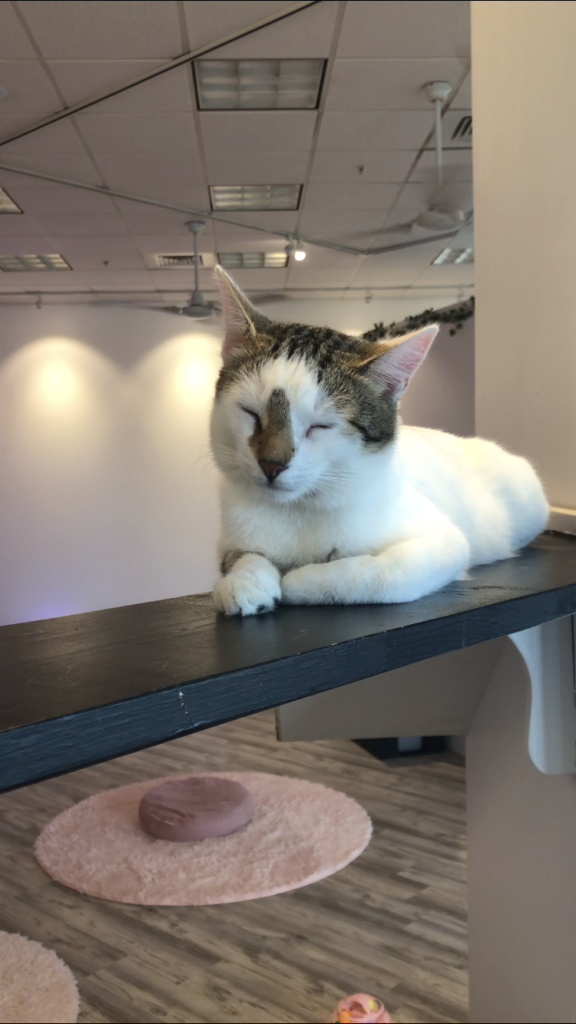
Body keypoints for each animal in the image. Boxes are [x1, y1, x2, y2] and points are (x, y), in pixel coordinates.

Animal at [207, 266, 545, 614]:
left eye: (320, 426)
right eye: (250, 412)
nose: (271, 465)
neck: (301, 509)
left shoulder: (443, 543)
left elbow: (381, 574)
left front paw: (300, 581)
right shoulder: (231, 538)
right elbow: (243, 555)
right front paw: (245, 580)